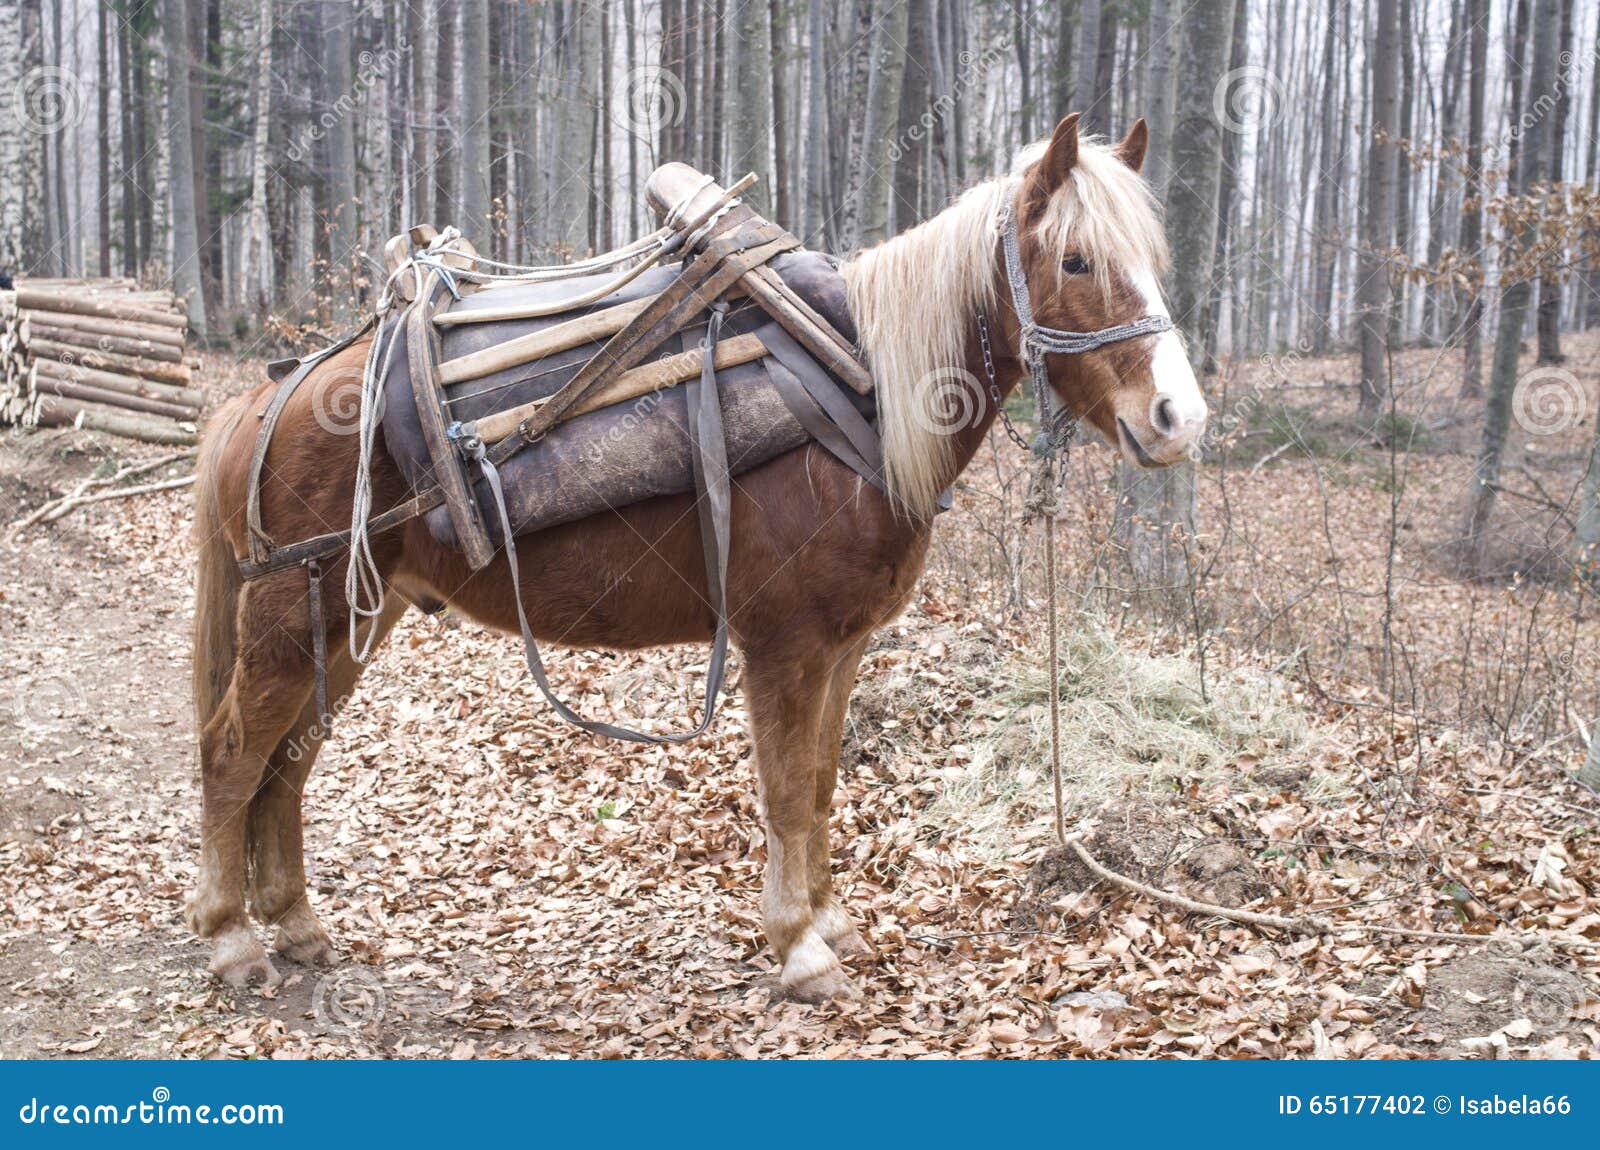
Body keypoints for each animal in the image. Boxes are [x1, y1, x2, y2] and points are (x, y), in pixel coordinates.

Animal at [187, 114, 1206, 1003]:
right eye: (1075, 260)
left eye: (1154, 262)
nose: (1179, 419)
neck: (865, 388)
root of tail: (269, 400)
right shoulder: (785, 646)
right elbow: (787, 793)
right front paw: (800, 950)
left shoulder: (843, 650)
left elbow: (823, 786)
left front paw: (830, 922)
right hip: (291, 621)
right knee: (236, 753)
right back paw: (233, 938)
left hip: (354, 618)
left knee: (290, 761)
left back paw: (295, 922)